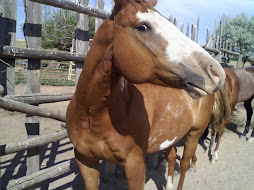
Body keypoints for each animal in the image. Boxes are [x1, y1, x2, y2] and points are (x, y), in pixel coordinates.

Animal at [65, 0, 224, 190]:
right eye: (143, 26)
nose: (216, 72)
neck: (92, 114)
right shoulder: (86, 162)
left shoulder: (135, 165)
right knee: (172, 158)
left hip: (194, 133)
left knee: (184, 163)